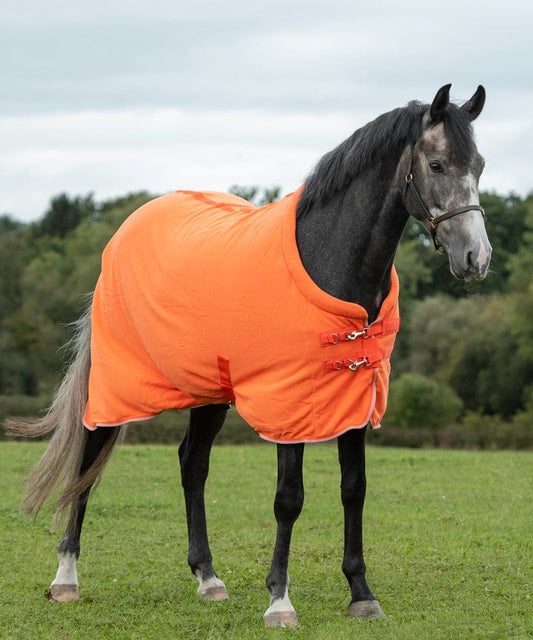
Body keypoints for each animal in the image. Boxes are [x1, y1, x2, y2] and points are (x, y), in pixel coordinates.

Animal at [9, 84, 491, 627]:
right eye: (436, 164)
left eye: (479, 165)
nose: (476, 259)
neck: (327, 260)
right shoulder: (289, 404)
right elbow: (289, 498)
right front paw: (280, 600)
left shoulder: (355, 398)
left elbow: (354, 489)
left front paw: (362, 593)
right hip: (116, 383)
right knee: (88, 460)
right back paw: (65, 578)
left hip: (209, 391)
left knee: (192, 464)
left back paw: (208, 578)